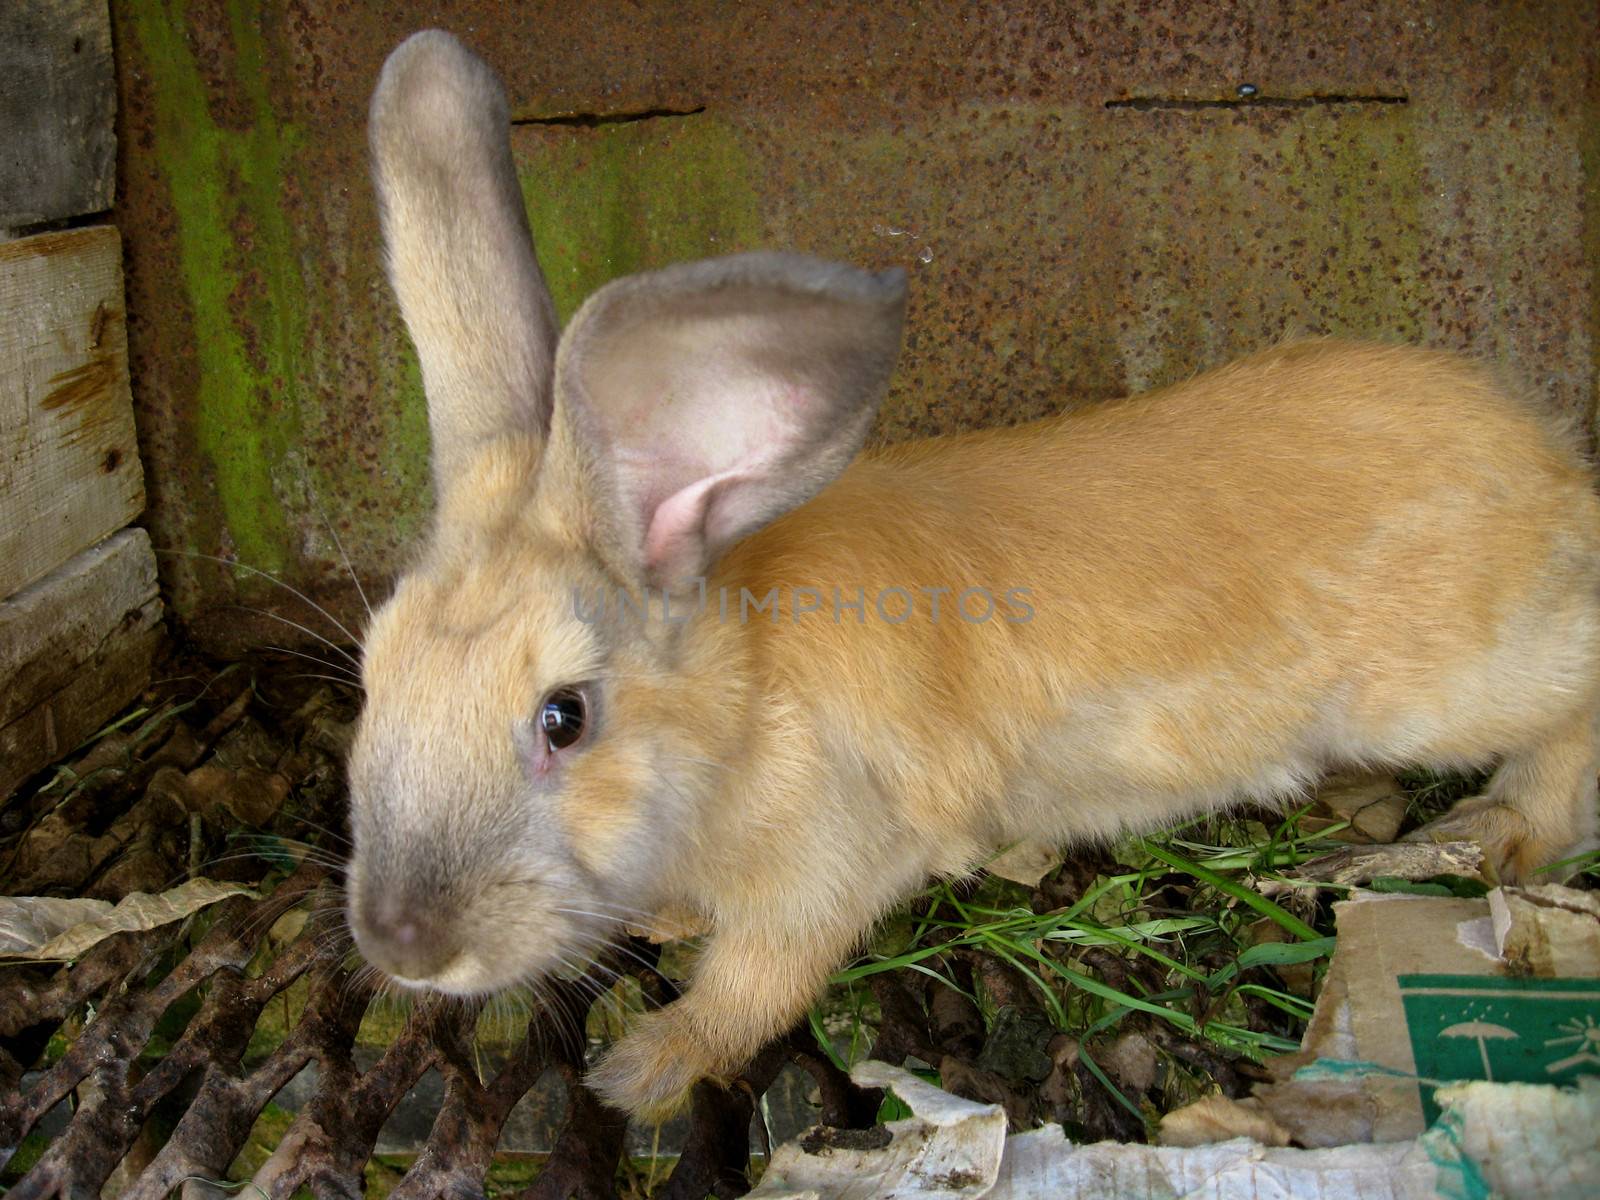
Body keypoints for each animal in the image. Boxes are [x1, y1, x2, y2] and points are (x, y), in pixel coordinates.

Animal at [347, 25, 1600, 1120]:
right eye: (370, 675)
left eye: (565, 718)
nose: (403, 945)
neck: (736, 705)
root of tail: (1554, 474)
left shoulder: (826, 872)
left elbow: (755, 986)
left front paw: (641, 1071)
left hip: (1443, 690)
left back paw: (1489, 831)